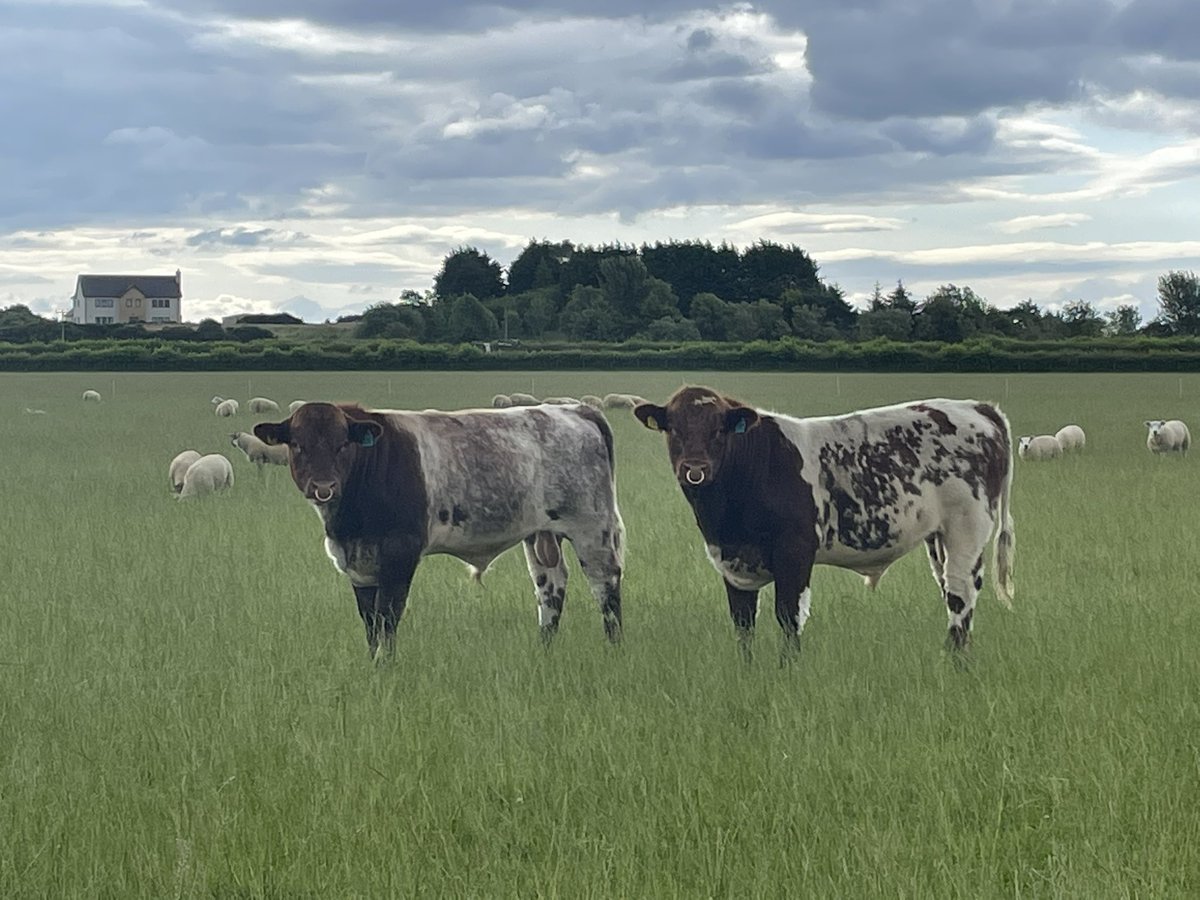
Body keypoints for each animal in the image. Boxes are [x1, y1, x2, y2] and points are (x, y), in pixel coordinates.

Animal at [255, 402, 625, 658]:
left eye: (343, 444)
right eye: (297, 445)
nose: (323, 487)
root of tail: (574, 409)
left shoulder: (399, 552)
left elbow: (387, 617)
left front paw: (386, 667)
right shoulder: (357, 564)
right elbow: (370, 621)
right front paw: (373, 664)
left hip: (592, 527)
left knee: (604, 585)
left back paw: (614, 648)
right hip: (540, 533)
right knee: (550, 588)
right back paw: (545, 649)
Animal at [634, 386, 1015, 659]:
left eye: (718, 430)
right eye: (673, 429)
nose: (694, 469)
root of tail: (977, 407)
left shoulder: (795, 552)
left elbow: (788, 617)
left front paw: (788, 670)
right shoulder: (732, 561)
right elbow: (743, 624)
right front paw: (747, 671)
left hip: (967, 530)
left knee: (960, 595)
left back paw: (954, 661)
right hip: (937, 538)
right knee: (949, 590)